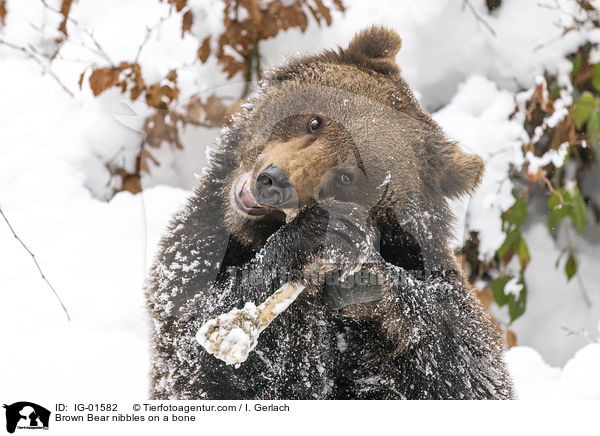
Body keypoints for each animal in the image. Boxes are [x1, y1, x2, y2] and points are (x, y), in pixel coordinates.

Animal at [146, 24, 516, 398]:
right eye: (315, 122)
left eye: (346, 176)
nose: (273, 181)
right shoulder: (195, 248)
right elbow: (192, 325)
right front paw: (317, 233)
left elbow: (468, 363)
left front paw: (367, 281)